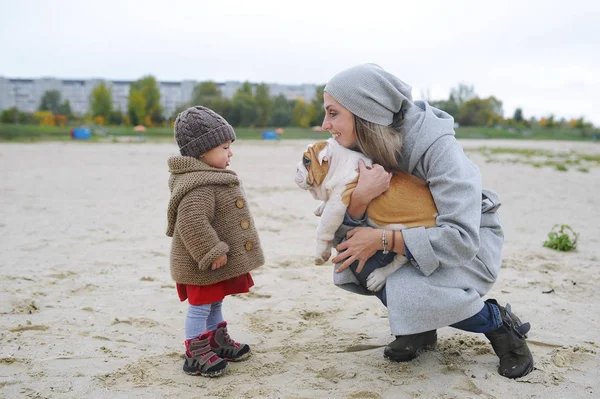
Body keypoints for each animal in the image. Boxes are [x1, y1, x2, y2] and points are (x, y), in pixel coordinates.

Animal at [294, 139, 438, 292]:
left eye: (306, 160)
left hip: (414, 231)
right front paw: (320, 207)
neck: (338, 164)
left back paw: (378, 277)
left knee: (402, 257)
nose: (296, 168)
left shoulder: (338, 201)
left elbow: (324, 228)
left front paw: (320, 254)